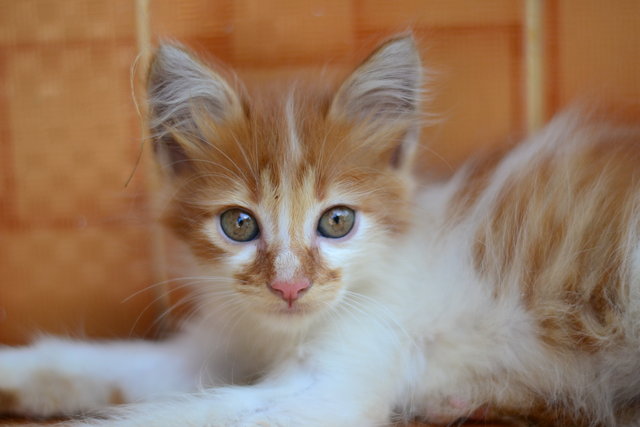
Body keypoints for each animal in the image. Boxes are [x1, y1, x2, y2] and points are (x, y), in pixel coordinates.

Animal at [1, 34, 640, 427]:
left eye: (337, 221)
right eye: (239, 224)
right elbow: (91, 364)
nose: (290, 287)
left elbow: (191, 415)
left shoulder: (340, 379)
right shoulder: (215, 346)